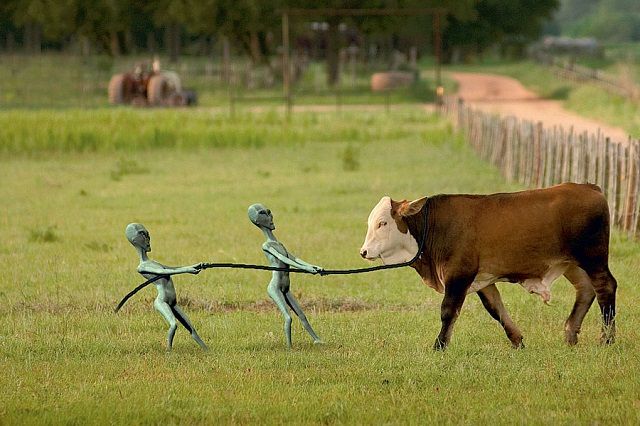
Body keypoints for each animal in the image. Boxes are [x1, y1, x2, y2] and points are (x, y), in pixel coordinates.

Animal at [359, 183, 617, 350]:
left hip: (593, 258)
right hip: (573, 264)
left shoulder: (459, 275)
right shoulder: (483, 279)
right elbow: (495, 309)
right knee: (586, 290)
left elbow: (448, 310)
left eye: (382, 223)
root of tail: (590, 188)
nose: (364, 252)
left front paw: (439, 345)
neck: (434, 225)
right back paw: (571, 332)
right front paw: (516, 340)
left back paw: (607, 339)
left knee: (605, 287)